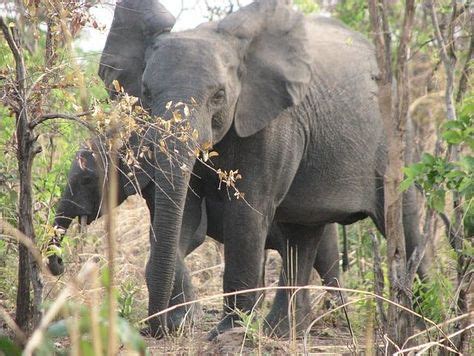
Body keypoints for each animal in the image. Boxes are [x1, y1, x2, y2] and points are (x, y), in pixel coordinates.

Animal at [48, 139, 342, 334]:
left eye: (87, 180)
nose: (59, 265)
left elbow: (191, 238)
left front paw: (182, 320)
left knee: (326, 261)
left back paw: (335, 314)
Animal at [99, 0, 426, 338]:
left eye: (219, 95)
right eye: (146, 92)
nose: (153, 328)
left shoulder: (274, 123)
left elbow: (247, 214)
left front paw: (228, 333)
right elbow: (184, 213)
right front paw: (181, 323)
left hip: (394, 141)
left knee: (404, 225)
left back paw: (421, 326)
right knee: (303, 233)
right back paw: (281, 333)